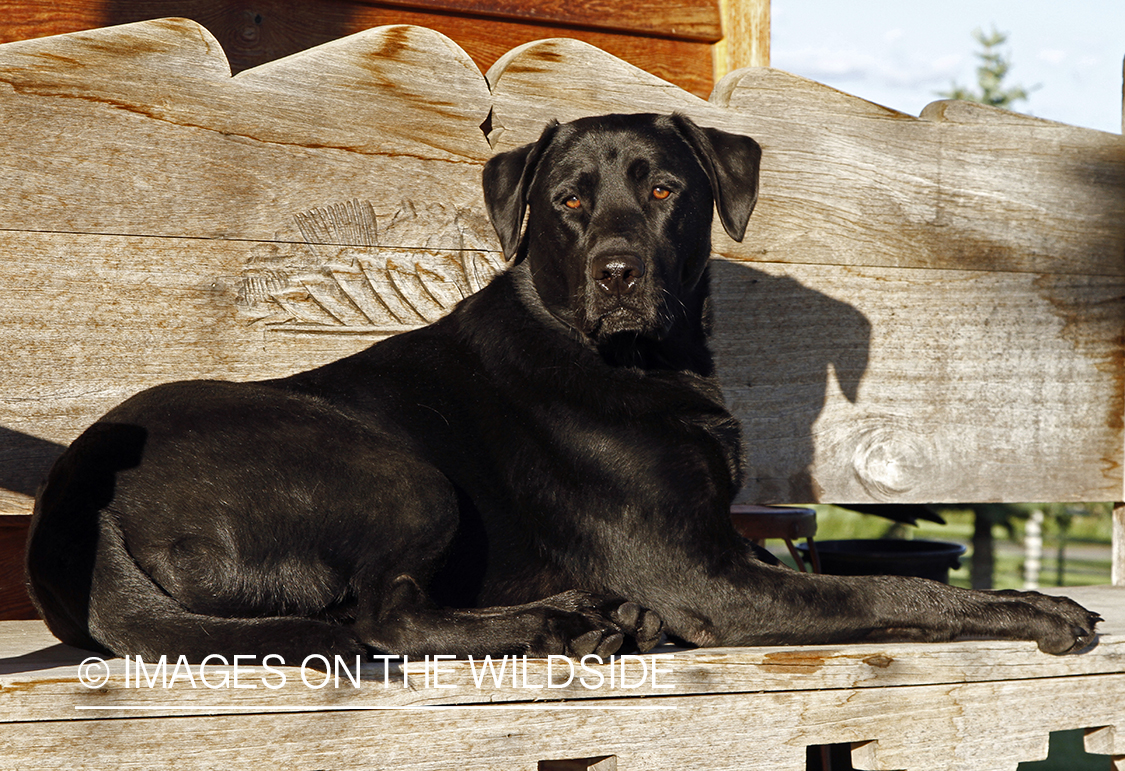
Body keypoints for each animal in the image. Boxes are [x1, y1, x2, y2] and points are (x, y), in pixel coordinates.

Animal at [24, 111, 1098, 657]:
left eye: (664, 188)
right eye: (568, 202)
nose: (618, 270)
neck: (627, 360)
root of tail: (78, 506)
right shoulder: (705, 577)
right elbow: (884, 589)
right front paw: (1034, 609)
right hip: (398, 473)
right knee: (383, 619)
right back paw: (563, 620)